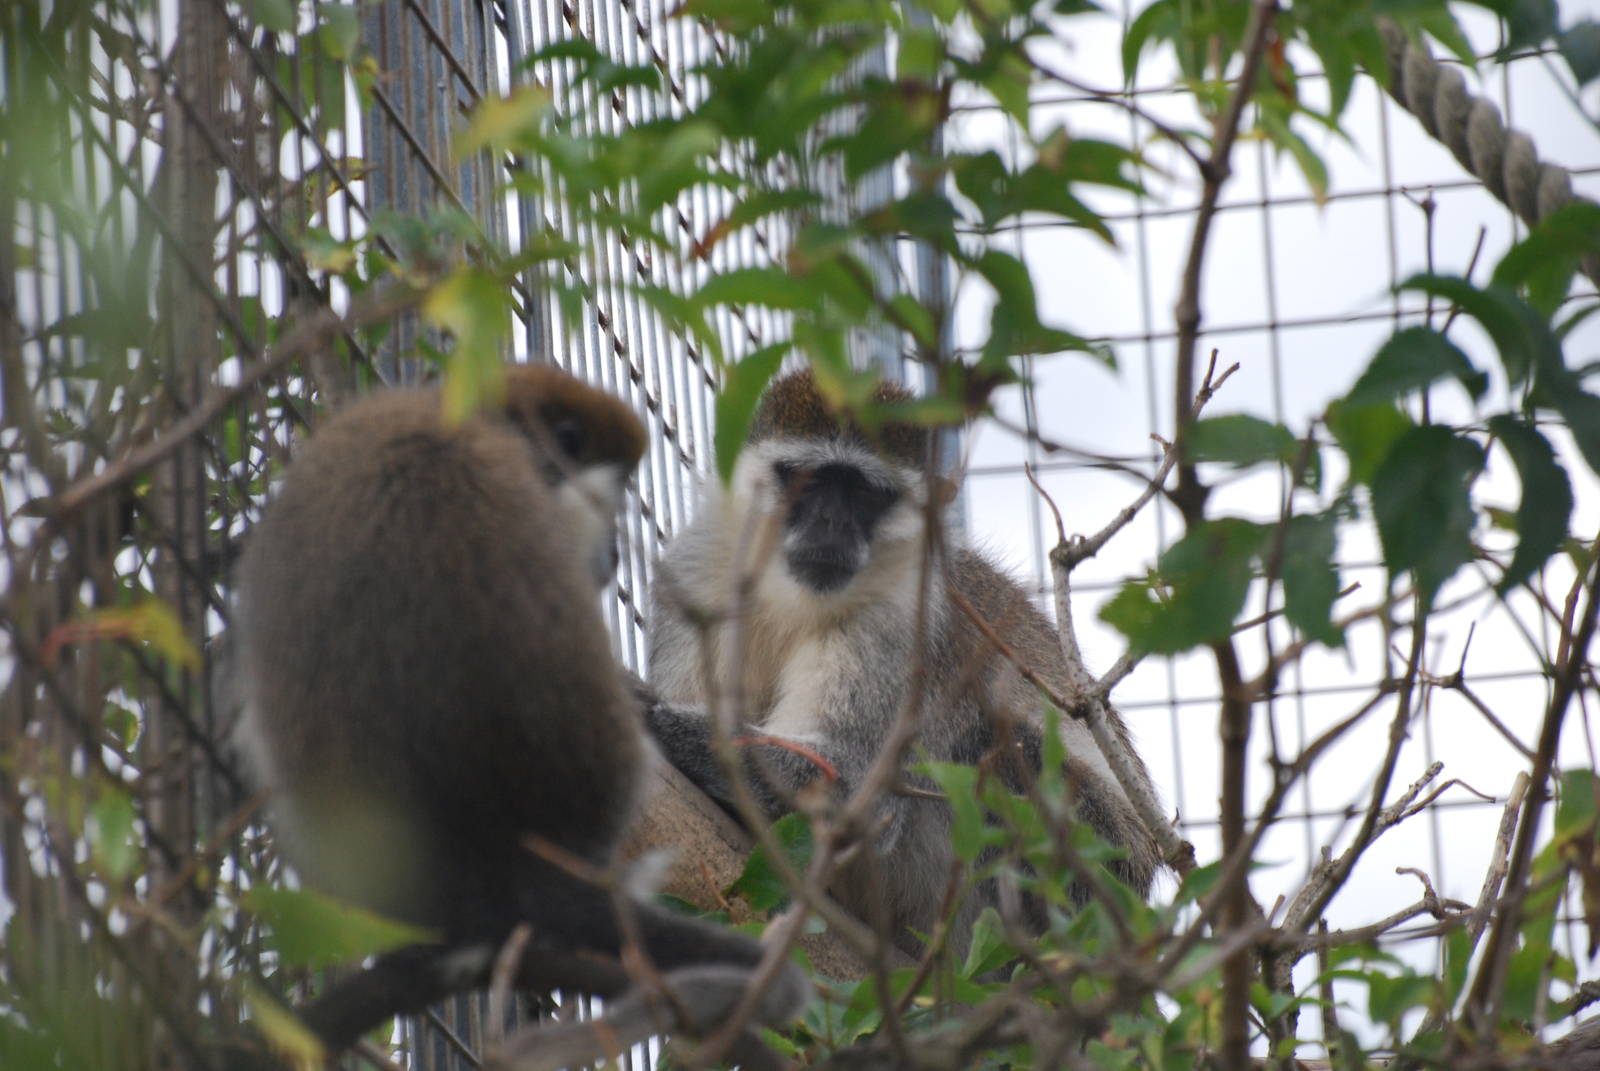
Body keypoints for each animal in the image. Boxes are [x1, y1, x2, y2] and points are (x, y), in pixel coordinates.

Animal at [642, 368, 1162, 958]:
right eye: (806, 480)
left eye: (866, 493)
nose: (830, 523)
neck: (791, 598)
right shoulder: (698, 575)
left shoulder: (899, 622)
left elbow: (851, 787)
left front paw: (656, 721)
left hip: (1101, 880)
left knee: (996, 744)